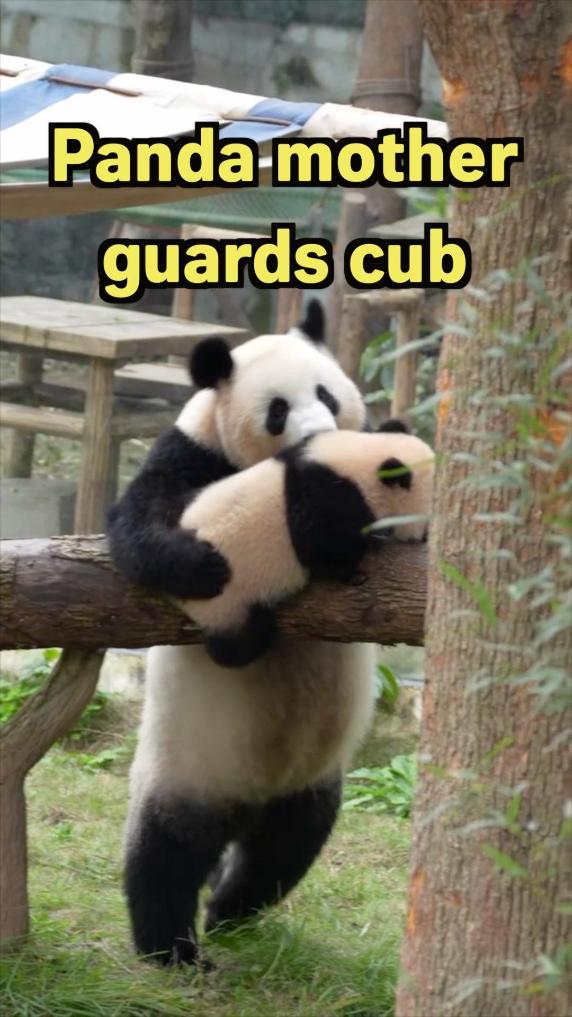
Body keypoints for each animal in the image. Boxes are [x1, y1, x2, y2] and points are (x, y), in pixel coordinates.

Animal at [175, 428, 434, 668]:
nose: (425, 539)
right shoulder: (327, 497)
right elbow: (321, 547)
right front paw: (358, 564)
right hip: (225, 602)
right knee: (238, 648)